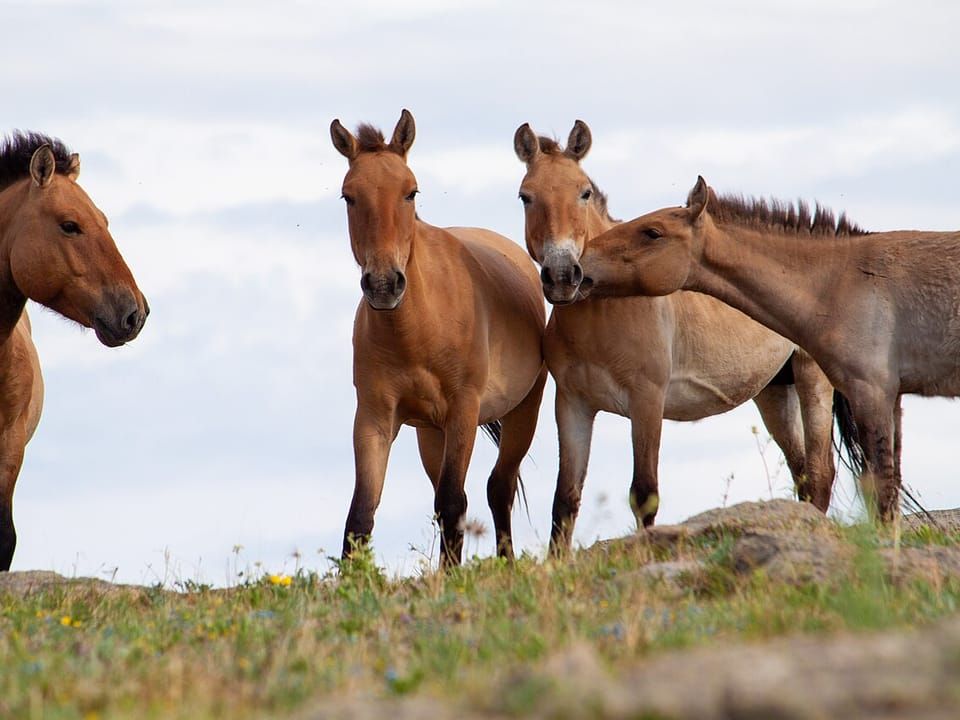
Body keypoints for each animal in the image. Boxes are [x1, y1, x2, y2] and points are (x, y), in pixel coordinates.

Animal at [330, 110, 547, 566]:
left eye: (410, 192)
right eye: (348, 196)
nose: (384, 285)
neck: (415, 331)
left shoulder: (463, 410)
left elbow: (452, 501)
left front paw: (453, 575)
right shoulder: (374, 418)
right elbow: (361, 515)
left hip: (524, 412)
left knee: (498, 488)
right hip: (430, 433)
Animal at [513, 122, 837, 552]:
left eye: (583, 192)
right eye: (525, 196)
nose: (564, 275)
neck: (604, 311)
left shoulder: (647, 400)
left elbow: (644, 493)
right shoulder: (573, 405)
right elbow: (565, 499)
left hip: (812, 379)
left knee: (819, 474)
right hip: (774, 392)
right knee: (802, 473)